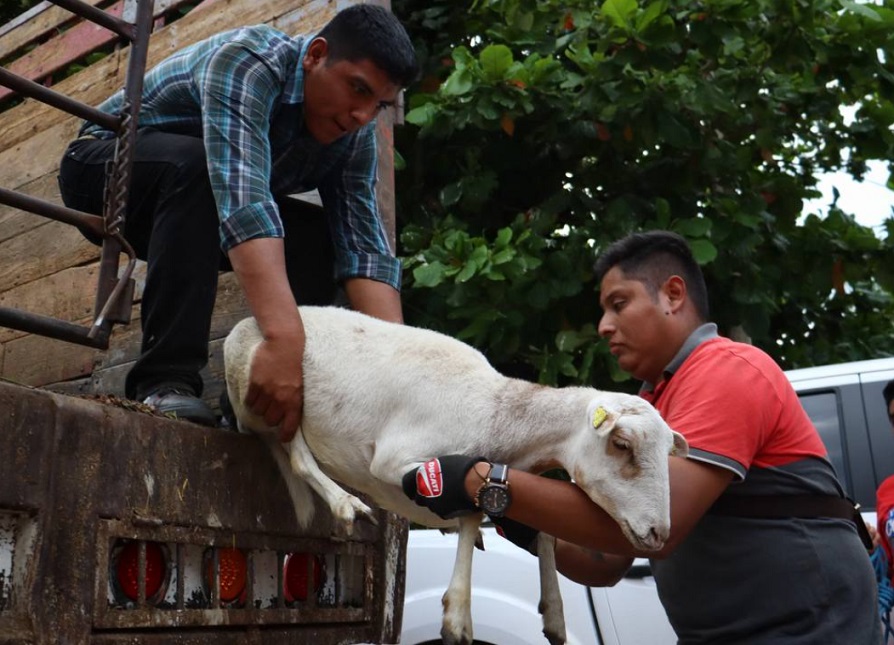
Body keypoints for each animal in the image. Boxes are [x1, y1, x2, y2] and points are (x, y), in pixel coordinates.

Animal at [220, 306, 688, 644]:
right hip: (267, 394)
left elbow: (502, 520)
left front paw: (551, 615)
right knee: (296, 453)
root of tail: (240, 327)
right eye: (622, 445)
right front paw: (458, 617)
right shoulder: (397, 460)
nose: (659, 533)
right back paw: (344, 502)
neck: (497, 414)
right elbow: (466, 511)